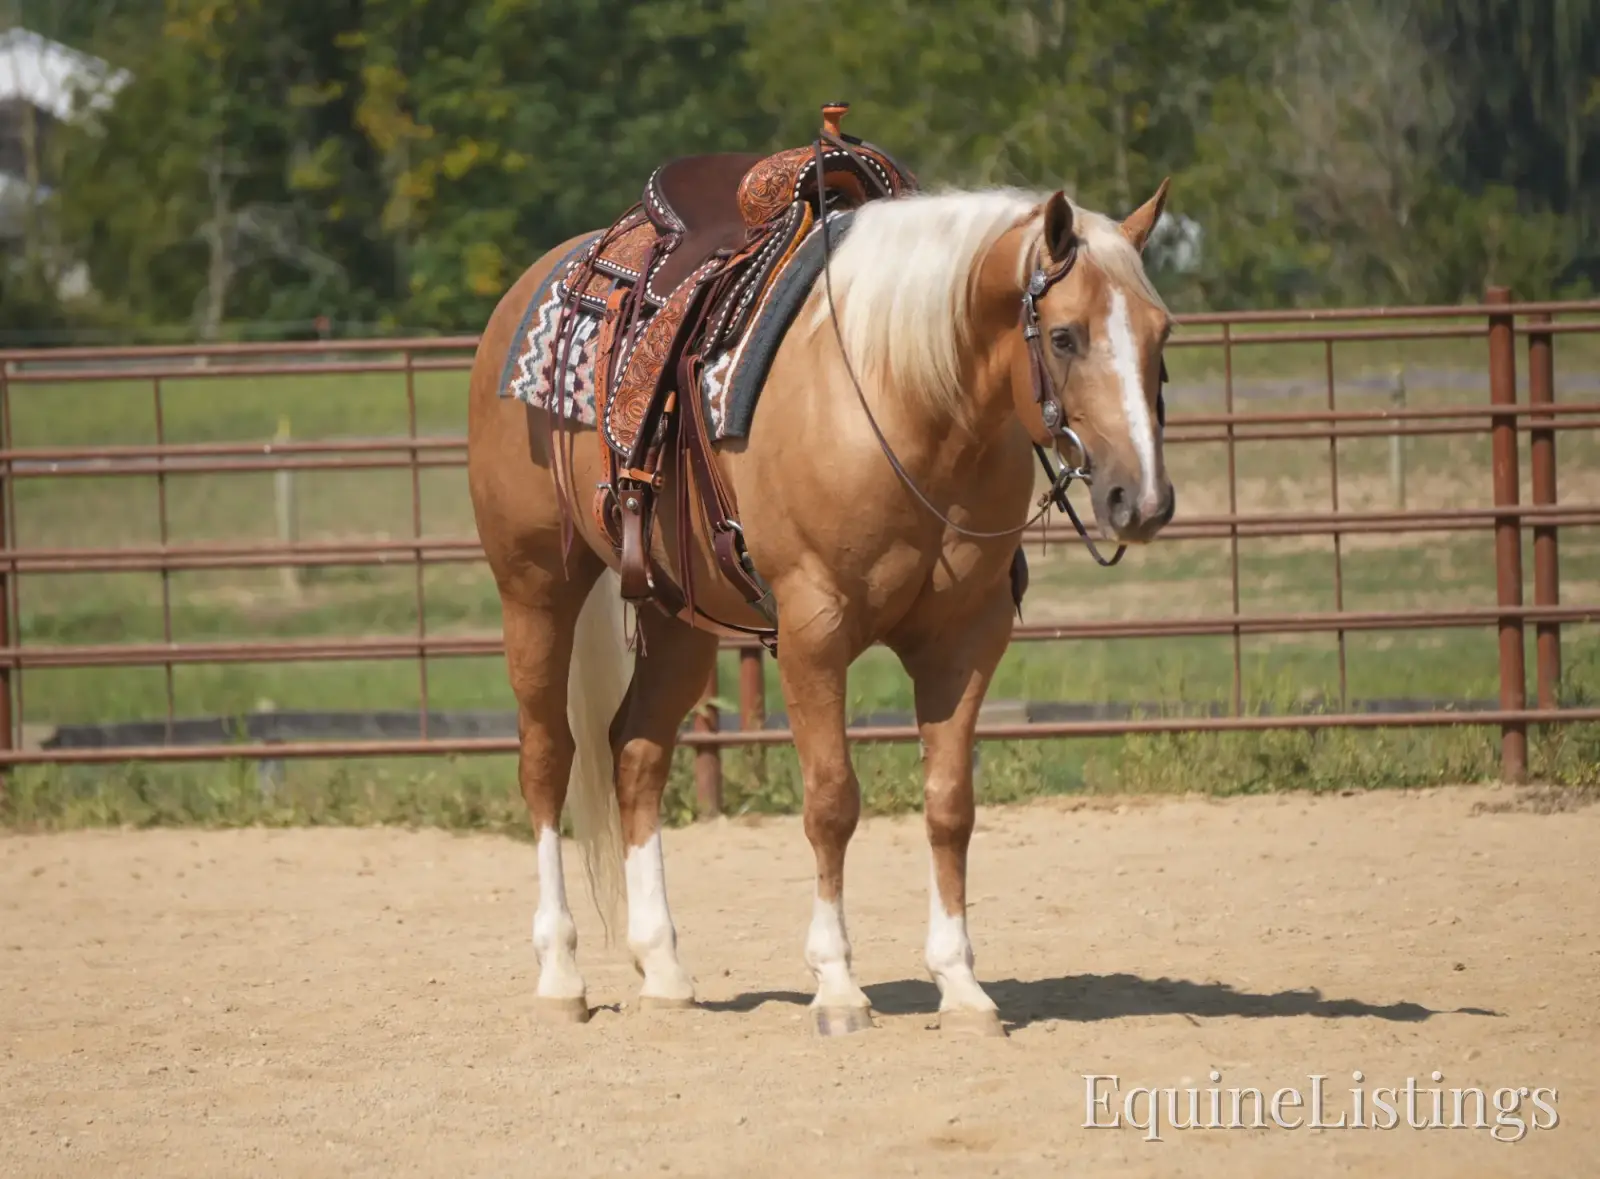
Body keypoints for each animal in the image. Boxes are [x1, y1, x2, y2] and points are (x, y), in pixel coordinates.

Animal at [466, 178, 1177, 1037]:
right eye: (1066, 337)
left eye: (1162, 333)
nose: (1141, 499)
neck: (902, 397)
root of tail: (540, 278)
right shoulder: (815, 631)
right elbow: (832, 801)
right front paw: (838, 986)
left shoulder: (966, 639)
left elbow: (950, 805)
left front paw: (961, 985)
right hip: (536, 589)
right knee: (548, 758)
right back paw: (561, 973)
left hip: (679, 619)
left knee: (634, 754)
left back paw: (664, 968)